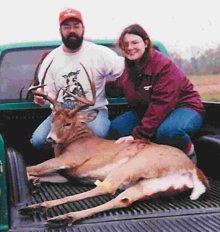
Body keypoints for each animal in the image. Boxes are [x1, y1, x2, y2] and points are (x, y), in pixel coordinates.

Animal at [19, 64, 209, 228]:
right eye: (53, 120)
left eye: (68, 123)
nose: (49, 139)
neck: (75, 140)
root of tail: (193, 170)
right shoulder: (66, 174)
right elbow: (36, 172)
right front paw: (34, 182)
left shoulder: (69, 159)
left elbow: (31, 167)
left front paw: (31, 180)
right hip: (151, 185)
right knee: (122, 200)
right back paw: (61, 217)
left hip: (131, 166)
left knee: (104, 188)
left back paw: (40, 208)